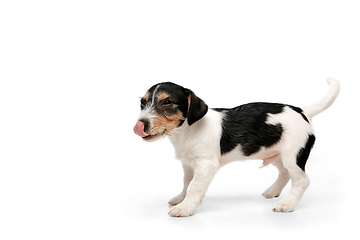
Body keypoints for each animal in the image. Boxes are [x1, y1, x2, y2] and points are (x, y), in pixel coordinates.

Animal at [133, 78, 340, 217]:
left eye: (167, 102)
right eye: (143, 103)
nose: (139, 125)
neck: (187, 130)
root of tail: (302, 111)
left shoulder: (206, 165)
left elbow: (194, 187)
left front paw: (185, 207)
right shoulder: (189, 165)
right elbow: (187, 183)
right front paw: (181, 199)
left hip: (293, 154)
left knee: (302, 180)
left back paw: (287, 204)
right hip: (277, 154)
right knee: (285, 173)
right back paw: (273, 191)